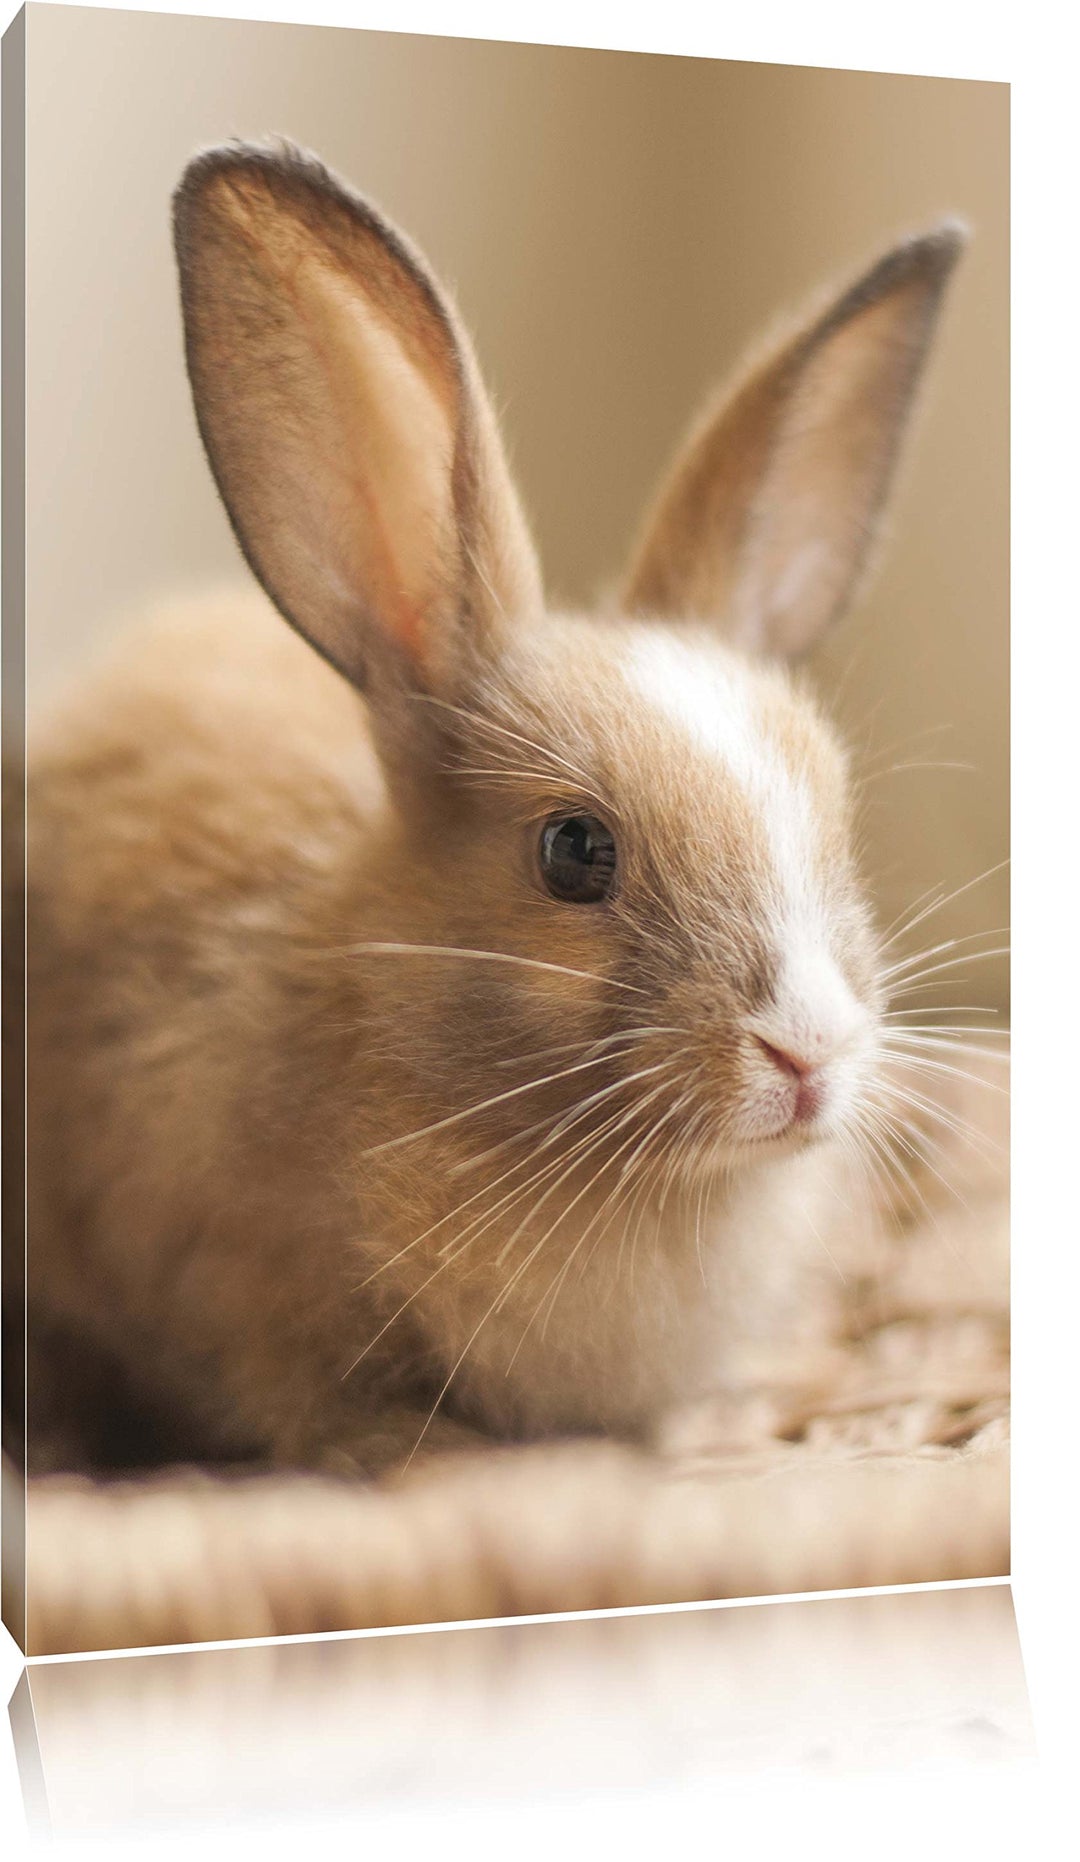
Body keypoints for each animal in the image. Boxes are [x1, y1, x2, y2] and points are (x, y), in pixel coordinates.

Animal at [17, 139, 967, 1482]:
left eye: (835, 819)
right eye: (575, 851)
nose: (808, 1049)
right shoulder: (224, 1283)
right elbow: (299, 1399)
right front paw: (413, 1451)